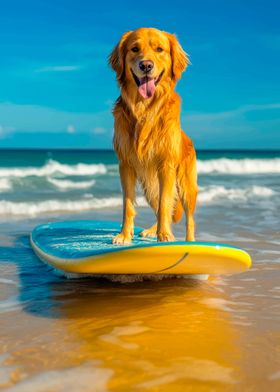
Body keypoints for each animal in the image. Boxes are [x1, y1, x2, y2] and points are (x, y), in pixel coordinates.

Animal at [108, 27, 198, 243]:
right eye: (134, 49)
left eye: (159, 49)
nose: (146, 65)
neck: (144, 108)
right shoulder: (126, 164)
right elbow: (128, 204)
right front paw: (125, 235)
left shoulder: (166, 166)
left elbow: (165, 204)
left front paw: (164, 235)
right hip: (150, 187)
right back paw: (150, 230)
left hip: (186, 186)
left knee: (188, 218)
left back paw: (190, 241)